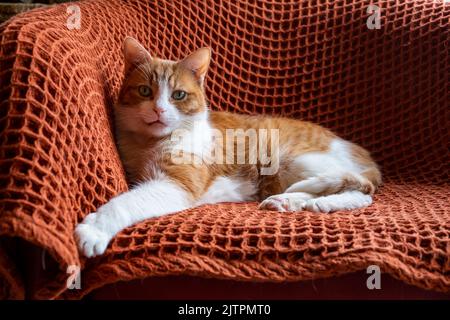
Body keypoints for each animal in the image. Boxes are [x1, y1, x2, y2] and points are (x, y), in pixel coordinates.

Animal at [75, 37, 382, 258]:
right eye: (145, 91)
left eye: (178, 95)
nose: (159, 110)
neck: (150, 142)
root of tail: (363, 154)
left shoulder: (175, 184)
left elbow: (126, 201)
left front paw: (95, 230)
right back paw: (290, 201)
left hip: (291, 159)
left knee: (361, 191)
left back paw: (316, 202)